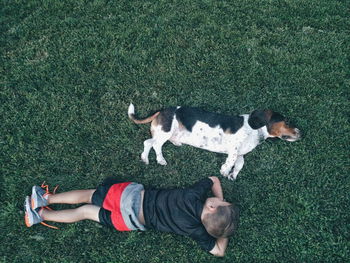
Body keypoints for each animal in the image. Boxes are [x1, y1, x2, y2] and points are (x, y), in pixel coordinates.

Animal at [129, 104, 300, 180]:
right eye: (286, 122)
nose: (301, 133)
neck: (255, 129)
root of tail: (162, 110)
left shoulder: (241, 154)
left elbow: (239, 164)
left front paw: (233, 175)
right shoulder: (234, 148)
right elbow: (231, 160)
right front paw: (225, 170)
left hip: (166, 133)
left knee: (154, 143)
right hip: (165, 131)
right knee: (151, 143)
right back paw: (156, 159)